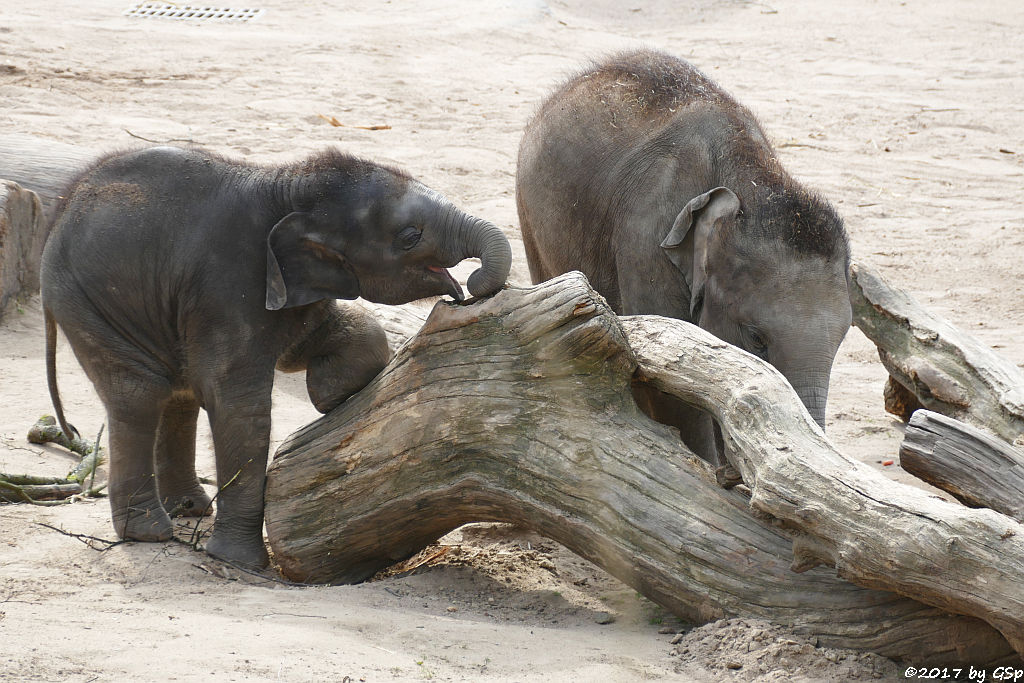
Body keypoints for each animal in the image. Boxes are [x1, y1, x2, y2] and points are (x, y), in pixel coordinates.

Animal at [41, 147, 512, 569]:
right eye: (410, 237)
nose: (470, 288)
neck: (288, 187)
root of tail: (60, 210)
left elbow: (324, 337)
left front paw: (332, 393)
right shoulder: (227, 286)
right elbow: (239, 404)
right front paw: (242, 563)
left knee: (179, 393)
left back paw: (190, 509)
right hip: (90, 305)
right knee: (141, 395)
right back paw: (149, 533)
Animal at [516, 48, 851, 464]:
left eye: (842, 338)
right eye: (756, 338)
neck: (751, 178)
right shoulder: (648, 237)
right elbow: (670, 382)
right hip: (530, 214)